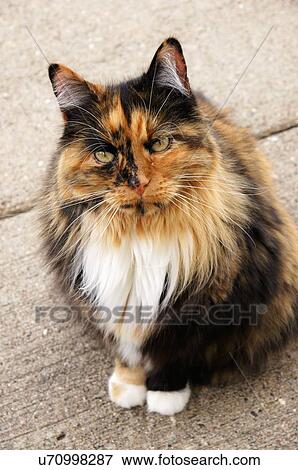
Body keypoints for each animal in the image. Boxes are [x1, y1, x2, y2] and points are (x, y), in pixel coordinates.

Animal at [40, 39, 298, 414]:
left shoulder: (202, 306)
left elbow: (174, 352)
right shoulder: (107, 296)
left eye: (160, 143)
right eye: (104, 155)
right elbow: (127, 348)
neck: (142, 235)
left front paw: (165, 395)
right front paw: (128, 385)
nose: (137, 182)